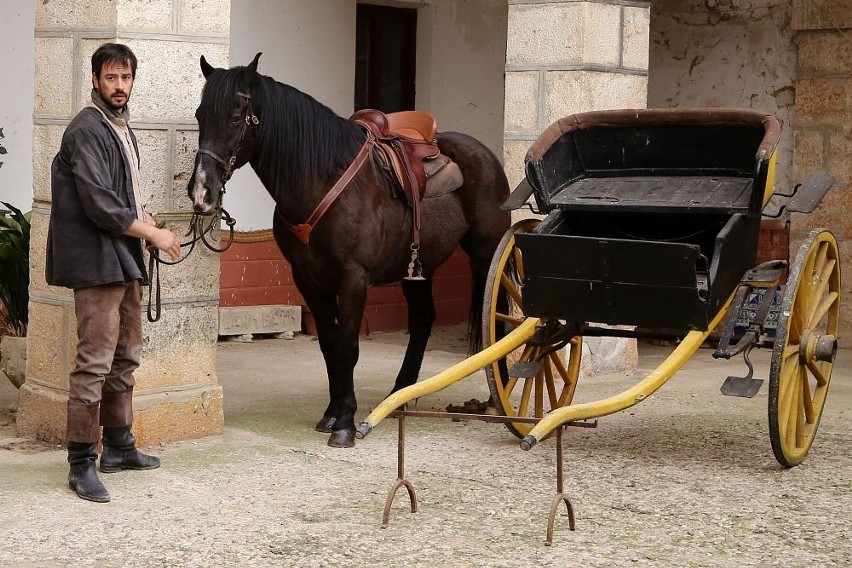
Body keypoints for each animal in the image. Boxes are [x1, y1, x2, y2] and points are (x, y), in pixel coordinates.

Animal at [190, 53, 510, 446]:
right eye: (200, 115)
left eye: (235, 118)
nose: (201, 192)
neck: (320, 178)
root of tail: (482, 153)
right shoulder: (309, 280)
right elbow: (330, 344)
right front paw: (332, 413)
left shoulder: (353, 278)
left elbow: (348, 346)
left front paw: (345, 421)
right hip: (417, 269)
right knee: (423, 320)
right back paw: (399, 395)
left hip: (489, 252)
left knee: (500, 317)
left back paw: (499, 396)